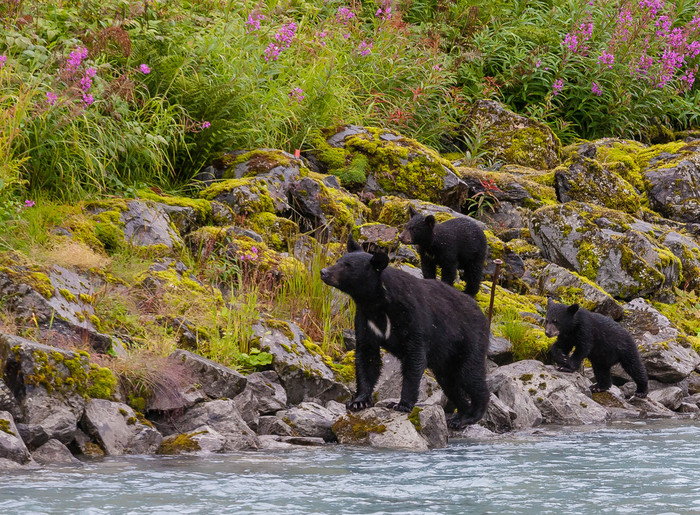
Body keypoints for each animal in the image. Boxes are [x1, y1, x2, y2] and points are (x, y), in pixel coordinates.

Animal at [320, 237, 490, 428]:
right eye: (339, 260)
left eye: (347, 266)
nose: (324, 272)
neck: (378, 303)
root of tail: (483, 315)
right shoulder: (365, 319)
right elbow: (367, 356)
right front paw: (358, 401)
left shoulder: (412, 317)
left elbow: (414, 357)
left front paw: (402, 404)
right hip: (446, 358)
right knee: (450, 382)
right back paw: (460, 414)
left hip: (470, 340)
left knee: (470, 375)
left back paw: (472, 415)